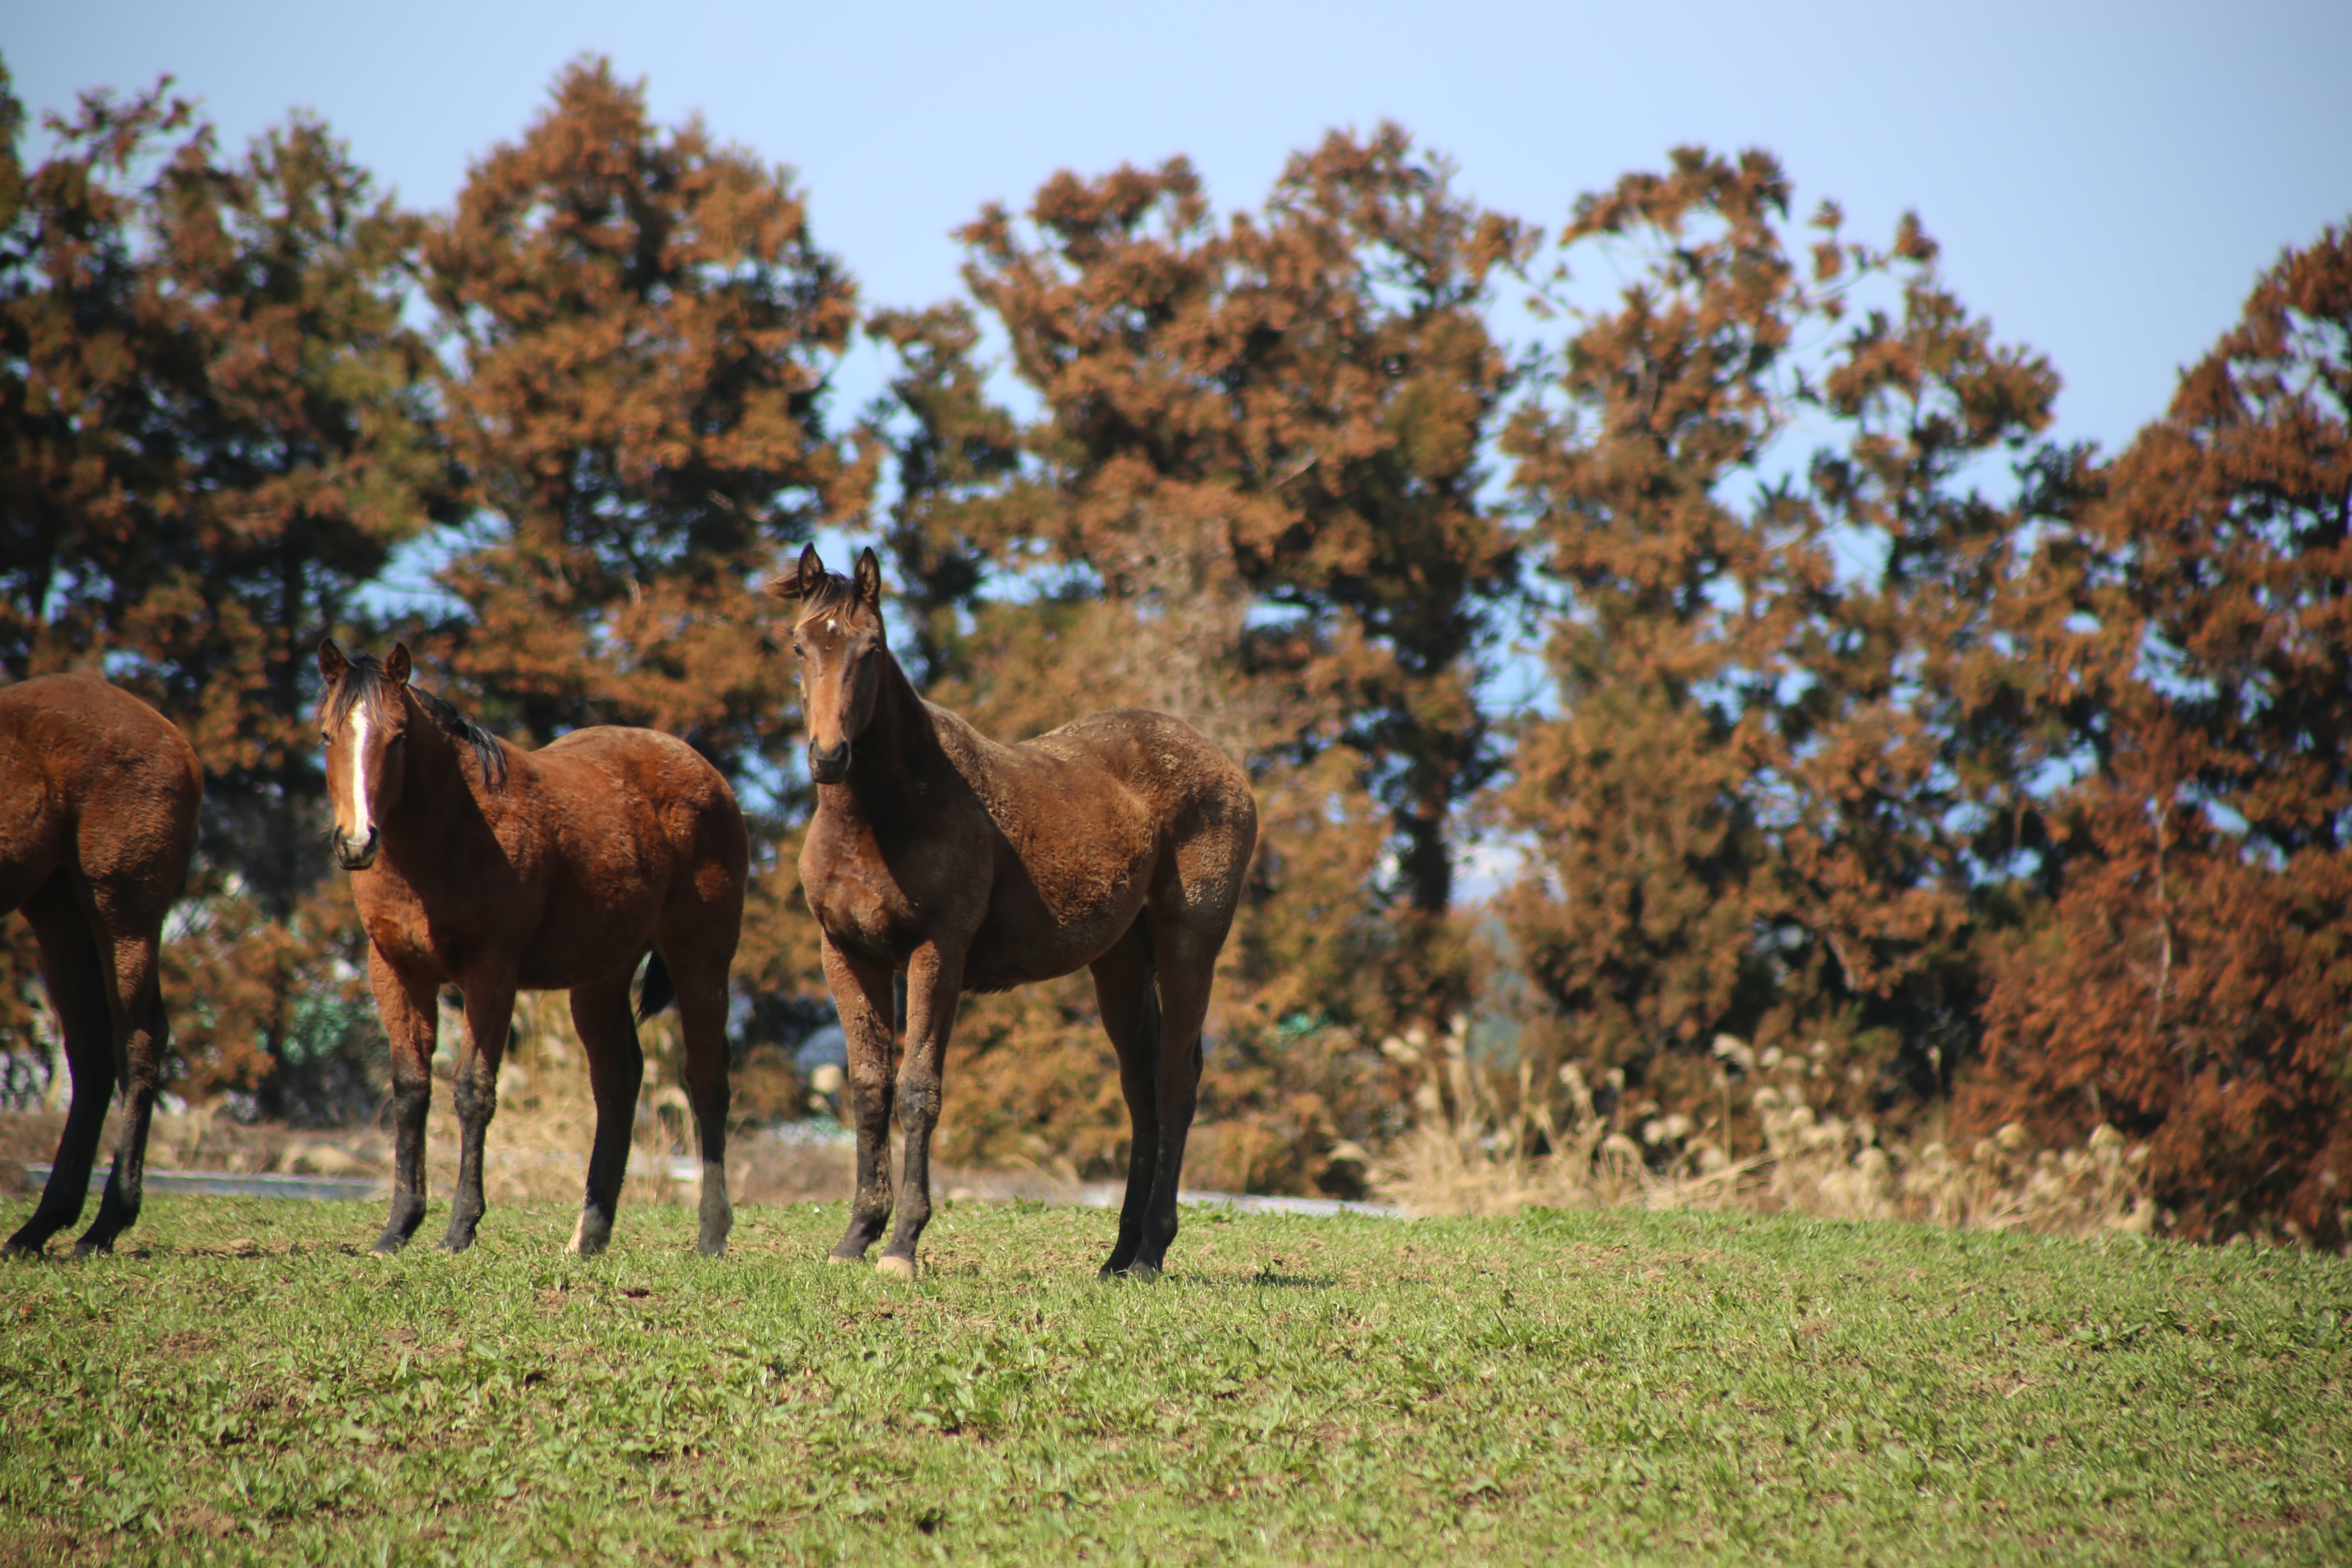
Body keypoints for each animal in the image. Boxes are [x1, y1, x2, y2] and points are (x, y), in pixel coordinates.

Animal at [0, 677, 200, 1260]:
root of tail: (175, 738)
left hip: (121, 905)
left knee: (138, 1036)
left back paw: (104, 1223)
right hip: (58, 905)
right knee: (91, 1051)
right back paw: (42, 1224)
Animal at [317, 644, 748, 1260]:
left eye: (398, 736)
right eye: (327, 735)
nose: (356, 841)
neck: (451, 833)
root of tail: (704, 770)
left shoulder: (491, 974)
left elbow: (473, 1091)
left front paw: (460, 1228)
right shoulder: (395, 971)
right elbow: (411, 1091)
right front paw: (398, 1228)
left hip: (702, 961)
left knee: (707, 1078)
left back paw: (711, 1232)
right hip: (600, 979)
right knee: (618, 1082)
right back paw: (589, 1236)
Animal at [771, 545, 1261, 1278]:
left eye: (872, 647)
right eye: (801, 645)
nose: (830, 756)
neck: (888, 812)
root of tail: (1227, 768)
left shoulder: (937, 953)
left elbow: (918, 1088)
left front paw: (903, 1243)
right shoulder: (847, 953)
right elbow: (869, 1088)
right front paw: (857, 1235)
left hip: (1188, 951)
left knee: (1176, 1083)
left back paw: (1152, 1251)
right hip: (1121, 965)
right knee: (1140, 1089)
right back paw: (1120, 1254)